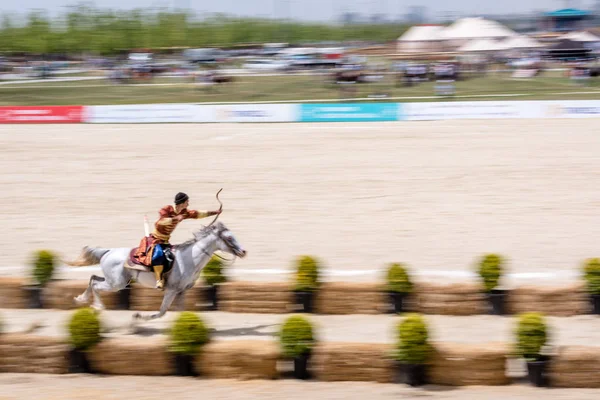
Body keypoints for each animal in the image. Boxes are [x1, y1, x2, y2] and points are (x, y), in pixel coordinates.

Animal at [64, 222, 245, 322]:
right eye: (229, 238)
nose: (243, 251)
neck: (189, 259)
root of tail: (108, 251)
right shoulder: (171, 290)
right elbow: (162, 312)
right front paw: (137, 318)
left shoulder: (181, 291)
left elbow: (180, 311)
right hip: (116, 284)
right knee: (95, 284)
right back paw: (97, 306)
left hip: (116, 281)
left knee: (93, 278)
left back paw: (81, 299)